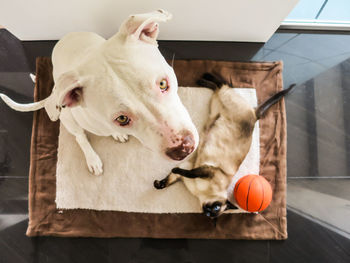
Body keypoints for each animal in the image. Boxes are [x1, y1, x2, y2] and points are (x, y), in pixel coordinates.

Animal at [0, 9, 198, 175]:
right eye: (122, 118)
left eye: (163, 84)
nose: (183, 149)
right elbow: (82, 137)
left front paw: (117, 134)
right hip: (67, 117)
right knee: (79, 136)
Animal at [154, 73, 294, 219]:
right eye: (216, 207)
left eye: (215, 211)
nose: (209, 213)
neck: (200, 194)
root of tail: (255, 114)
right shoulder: (205, 171)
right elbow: (183, 172)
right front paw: (167, 176)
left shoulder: (188, 170)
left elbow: (171, 178)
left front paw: (158, 184)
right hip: (224, 100)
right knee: (224, 84)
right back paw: (203, 78)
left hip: (215, 105)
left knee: (219, 87)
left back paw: (203, 81)